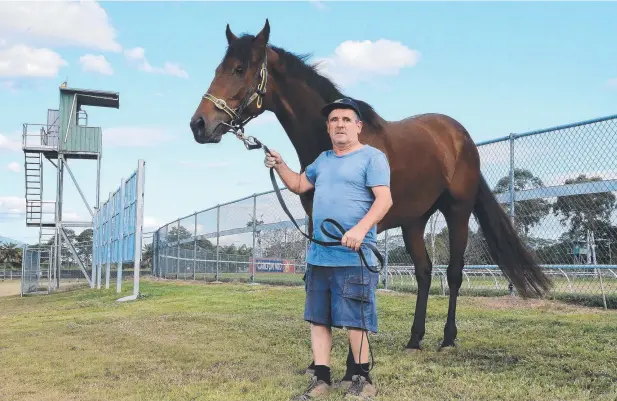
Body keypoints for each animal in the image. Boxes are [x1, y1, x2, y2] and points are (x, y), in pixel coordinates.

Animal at [189, 18, 548, 360]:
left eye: (240, 69)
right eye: (219, 69)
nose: (199, 125)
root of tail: (460, 137)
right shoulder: (318, 224)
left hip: (457, 211)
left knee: (454, 274)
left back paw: (447, 338)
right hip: (414, 222)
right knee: (424, 273)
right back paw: (415, 338)